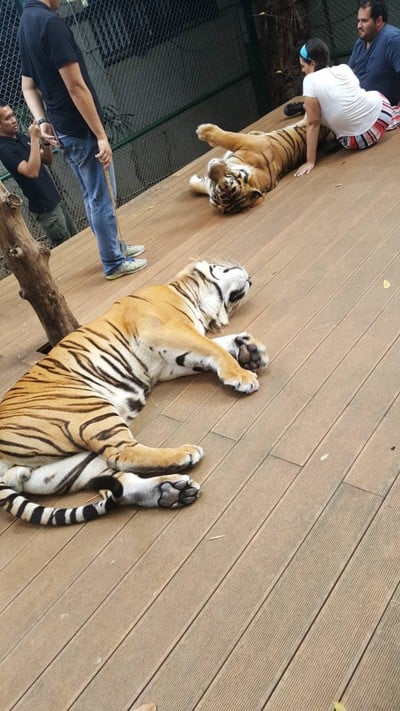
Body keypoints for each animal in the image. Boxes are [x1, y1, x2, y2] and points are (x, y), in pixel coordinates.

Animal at [0, 260, 269, 526]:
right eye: (227, 267)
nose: (251, 277)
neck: (190, 296)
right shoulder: (169, 331)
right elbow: (214, 348)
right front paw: (243, 375)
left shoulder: (168, 364)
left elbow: (217, 348)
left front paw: (250, 351)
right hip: (89, 409)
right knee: (121, 453)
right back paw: (185, 454)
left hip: (64, 468)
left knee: (117, 479)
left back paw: (171, 492)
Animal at [189, 119, 331, 214]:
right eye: (217, 191)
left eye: (228, 180)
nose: (214, 164)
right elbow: (194, 186)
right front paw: (195, 179)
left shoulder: (249, 141)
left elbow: (227, 137)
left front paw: (203, 130)